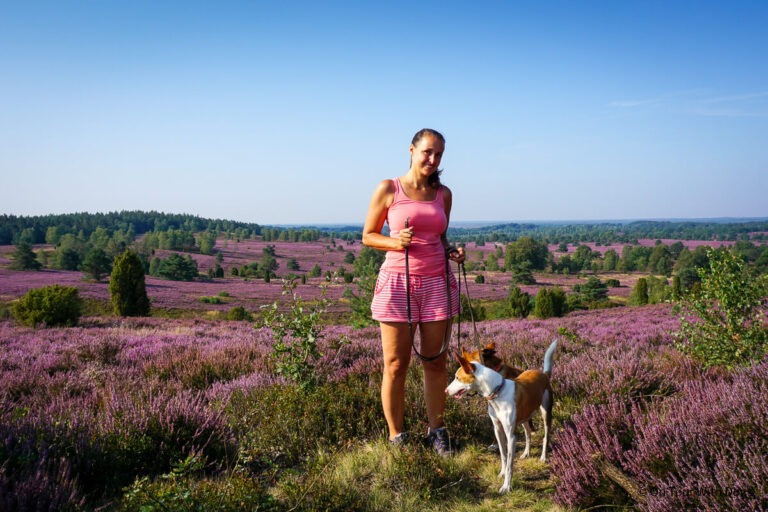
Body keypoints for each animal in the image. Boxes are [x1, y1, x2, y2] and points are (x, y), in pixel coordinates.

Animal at [444, 342, 560, 494]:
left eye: (457, 378)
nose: (445, 391)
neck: (497, 393)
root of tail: (543, 373)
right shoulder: (498, 429)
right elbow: (503, 456)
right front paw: (502, 473)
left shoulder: (510, 435)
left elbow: (510, 462)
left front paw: (506, 486)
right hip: (523, 418)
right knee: (528, 433)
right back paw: (526, 453)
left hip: (546, 412)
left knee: (546, 436)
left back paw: (543, 457)